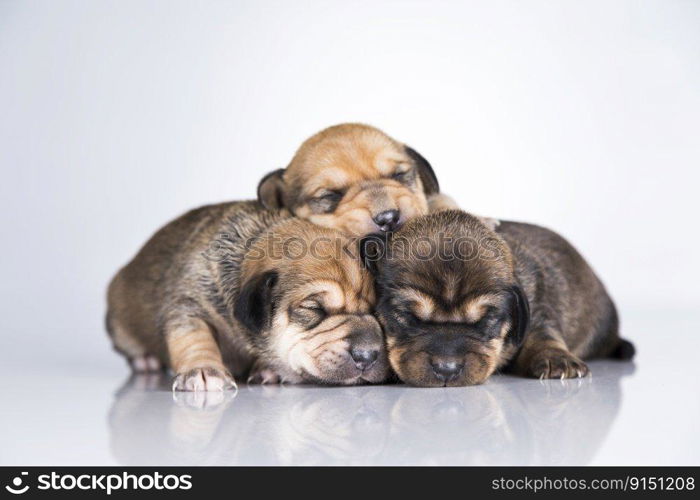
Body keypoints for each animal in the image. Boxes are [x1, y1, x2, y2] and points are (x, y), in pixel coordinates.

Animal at [360, 210, 636, 386]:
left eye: (486, 319)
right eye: (408, 317)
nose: (447, 369)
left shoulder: (539, 310)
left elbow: (544, 335)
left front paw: (558, 359)